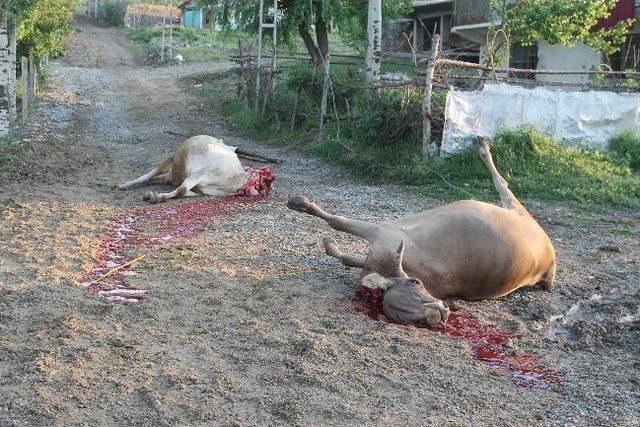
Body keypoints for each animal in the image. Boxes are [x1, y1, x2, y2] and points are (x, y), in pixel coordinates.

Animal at [117, 137, 276, 204]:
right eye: (264, 179)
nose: (268, 189)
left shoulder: (202, 189)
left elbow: (183, 192)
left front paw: (155, 196)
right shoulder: (199, 174)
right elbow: (182, 190)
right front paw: (156, 198)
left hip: (173, 173)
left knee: (159, 179)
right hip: (173, 160)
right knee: (150, 173)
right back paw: (122, 185)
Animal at [288, 137, 556, 328]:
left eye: (416, 282)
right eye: (407, 318)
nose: (437, 315)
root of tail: (550, 261)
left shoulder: (383, 232)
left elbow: (337, 222)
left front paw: (300, 203)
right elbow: (346, 256)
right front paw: (329, 244)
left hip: (516, 209)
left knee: (503, 183)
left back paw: (482, 146)